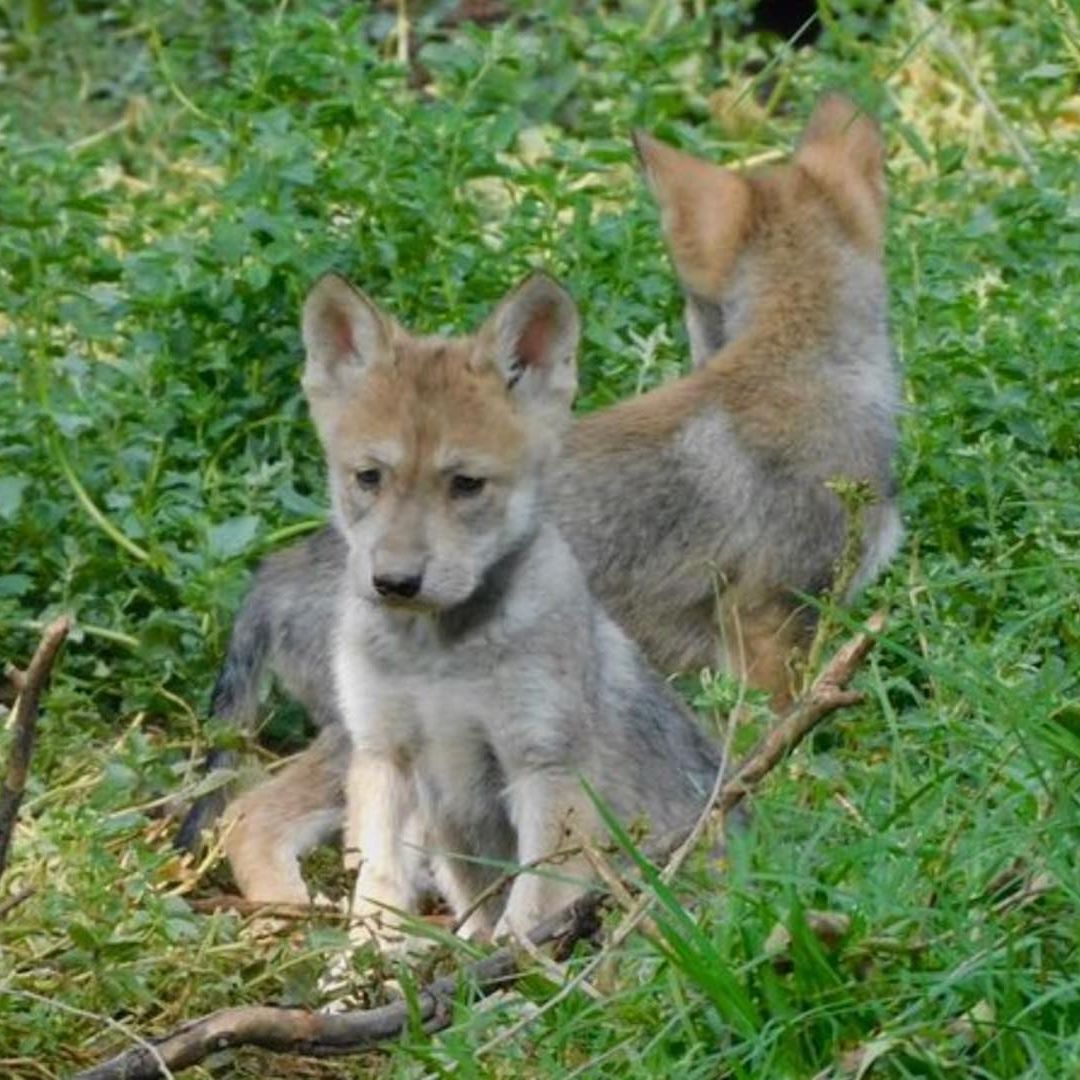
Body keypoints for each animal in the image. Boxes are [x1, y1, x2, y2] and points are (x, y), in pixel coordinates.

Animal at [186, 95, 901, 904]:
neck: (805, 369)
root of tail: (271, 574)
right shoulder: (772, 635)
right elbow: (765, 764)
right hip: (367, 744)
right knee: (250, 818)